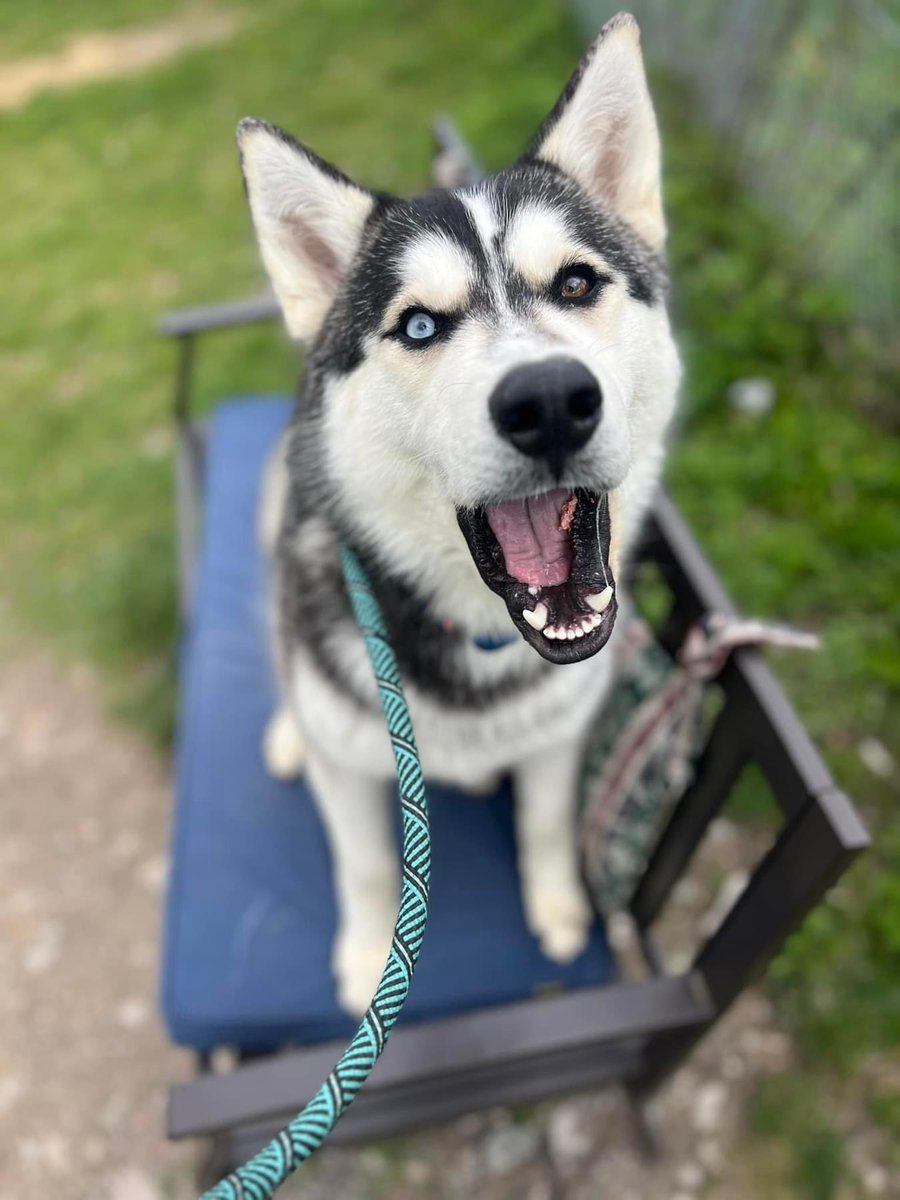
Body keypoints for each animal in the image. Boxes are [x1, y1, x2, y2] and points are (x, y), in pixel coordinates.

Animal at [236, 14, 681, 1017]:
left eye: (576, 284)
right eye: (419, 327)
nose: (549, 401)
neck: (482, 634)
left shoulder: (557, 737)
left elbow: (548, 822)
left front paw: (556, 905)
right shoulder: (355, 769)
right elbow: (366, 865)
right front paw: (370, 958)